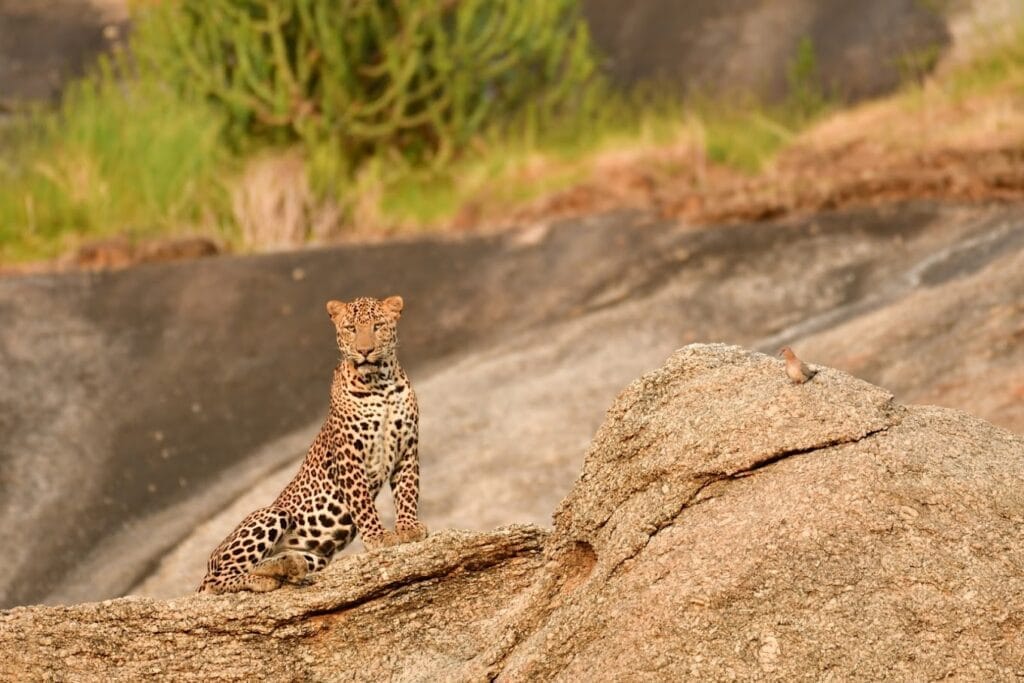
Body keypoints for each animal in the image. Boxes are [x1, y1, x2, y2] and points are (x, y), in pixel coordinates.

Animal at [197, 294, 425, 593]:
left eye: (377, 326)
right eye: (351, 328)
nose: (365, 351)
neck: (380, 384)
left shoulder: (407, 447)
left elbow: (407, 491)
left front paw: (409, 528)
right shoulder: (349, 455)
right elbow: (363, 503)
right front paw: (378, 537)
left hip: (315, 556)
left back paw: (286, 567)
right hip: (272, 514)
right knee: (220, 580)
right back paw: (262, 580)